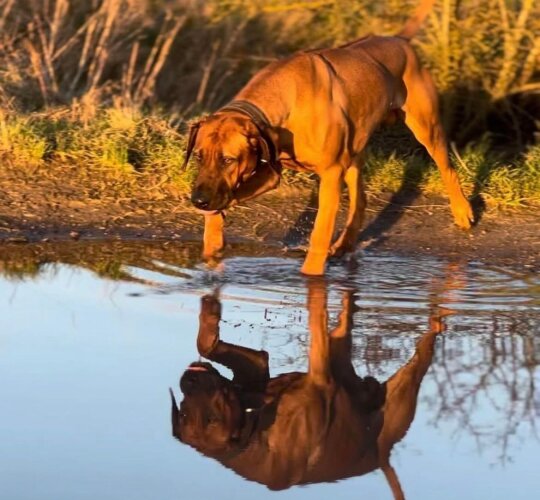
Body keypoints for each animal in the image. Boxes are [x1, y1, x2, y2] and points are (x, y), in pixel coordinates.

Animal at [170, 282, 448, 496]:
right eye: (184, 414)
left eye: (210, 418)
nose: (189, 381)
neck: (254, 426)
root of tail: (383, 456)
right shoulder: (320, 378)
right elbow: (316, 321)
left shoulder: (257, 368)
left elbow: (207, 345)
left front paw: (210, 312)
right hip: (401, 394)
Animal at [185, 0, 472, 274]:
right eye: (199, 156)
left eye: (228, 160)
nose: (198, 200)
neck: (285, 99)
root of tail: (399, 40)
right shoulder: (268, 166)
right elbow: (228, 197)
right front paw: (212, 243)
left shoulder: (331, 173)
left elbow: (320, 232)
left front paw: (311, 276)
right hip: (354, 147)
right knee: (360, 200)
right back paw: (344, 245)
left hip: (426, 126)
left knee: (447, 168)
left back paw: (462, 211)